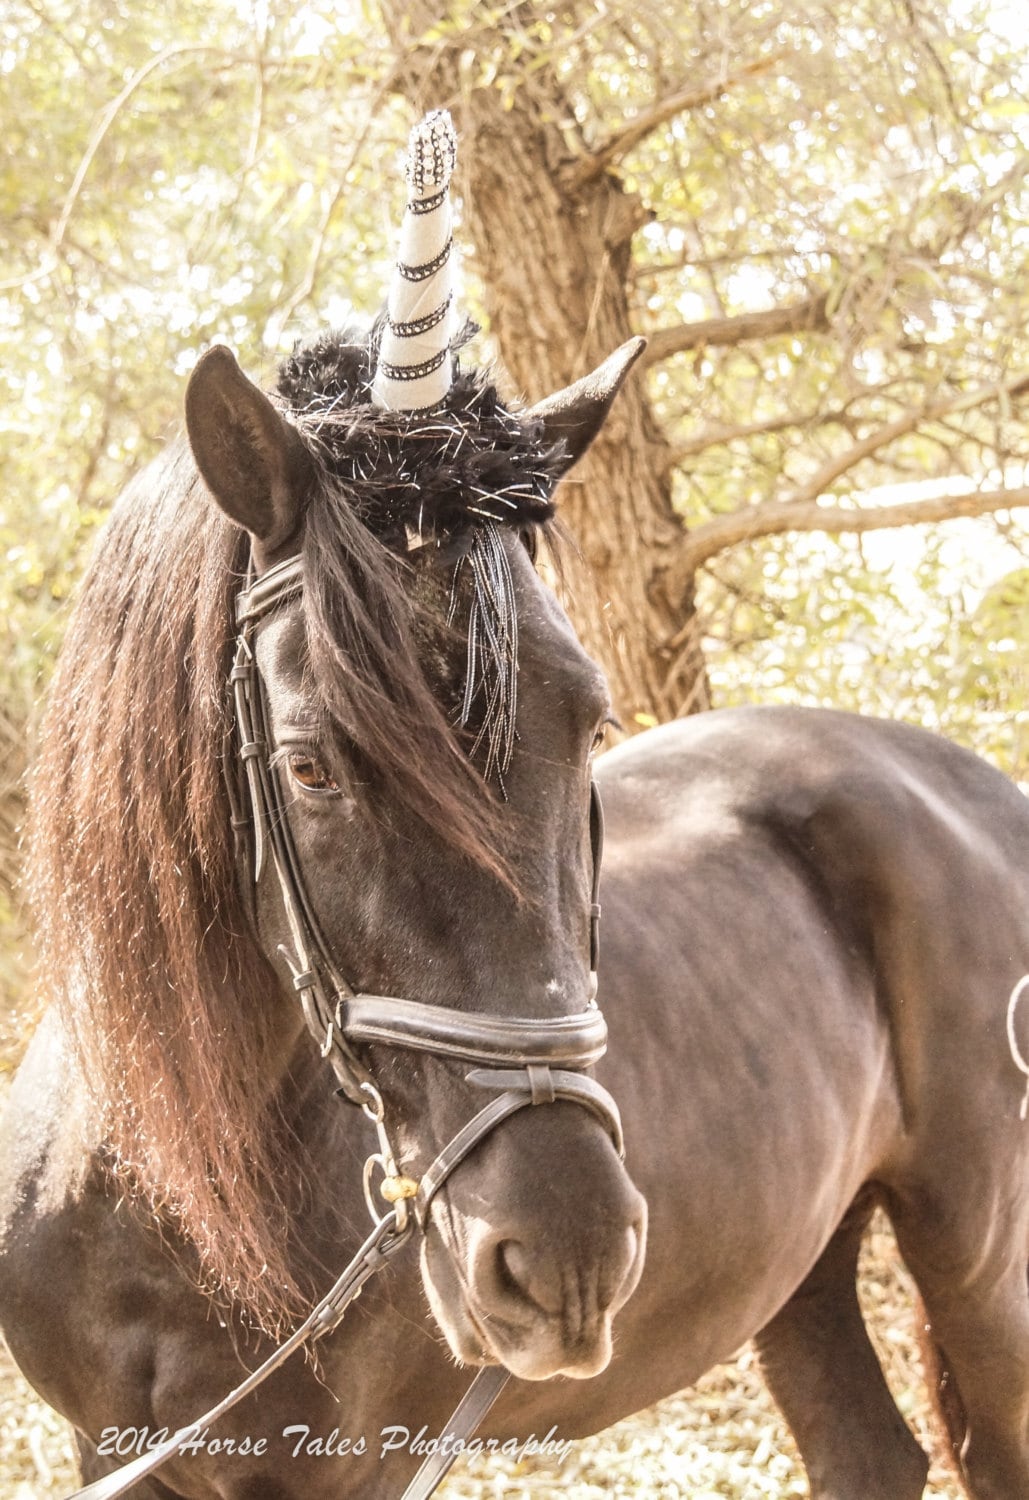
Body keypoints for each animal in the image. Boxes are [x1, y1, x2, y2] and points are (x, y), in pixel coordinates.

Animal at [4, 113, 1029, 1500]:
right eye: (313, 764)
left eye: (587, 725)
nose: (568, 1255)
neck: (173, 1191)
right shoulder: (106, 1450)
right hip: (805, 1262)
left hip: (981, 1258)